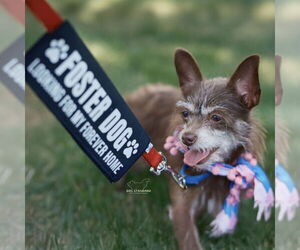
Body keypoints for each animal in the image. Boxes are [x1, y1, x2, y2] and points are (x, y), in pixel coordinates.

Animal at [125, 48, 266, 250]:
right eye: (185, 114)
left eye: (216, 117)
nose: (186, 139)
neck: (213, 170)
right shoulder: (182, 207)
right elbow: (190, 239)